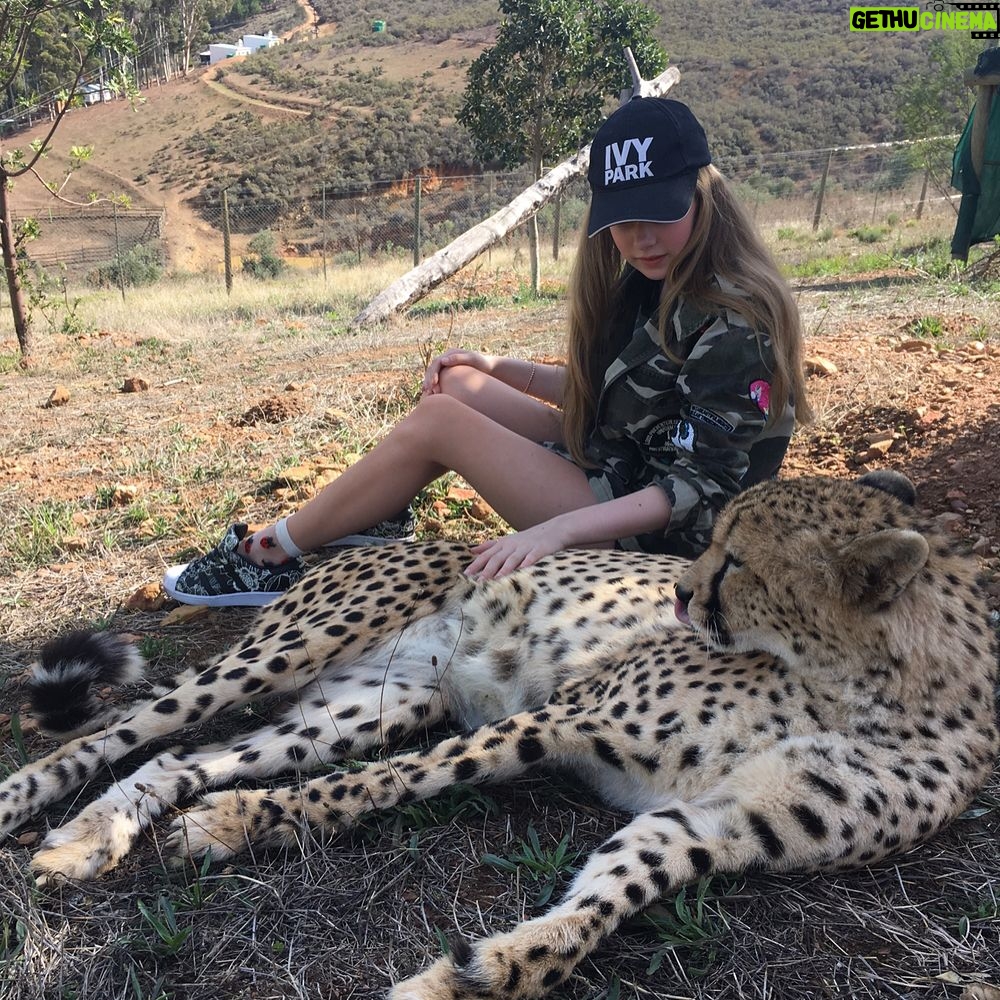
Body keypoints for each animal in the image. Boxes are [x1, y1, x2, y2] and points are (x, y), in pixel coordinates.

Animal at [1, 471, 997, 1000]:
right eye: (712, 543)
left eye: (740, 560)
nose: (680, 593)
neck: (862, 689)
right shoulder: (565, 713)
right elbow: (391, 783)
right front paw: (250, 820)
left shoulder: (715, 825)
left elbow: (606, 901)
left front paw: (478, 975)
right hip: (289, 651)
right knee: (121, 731)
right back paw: (31, 803)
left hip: (366, 705)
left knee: (188, 756)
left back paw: (97, 834)